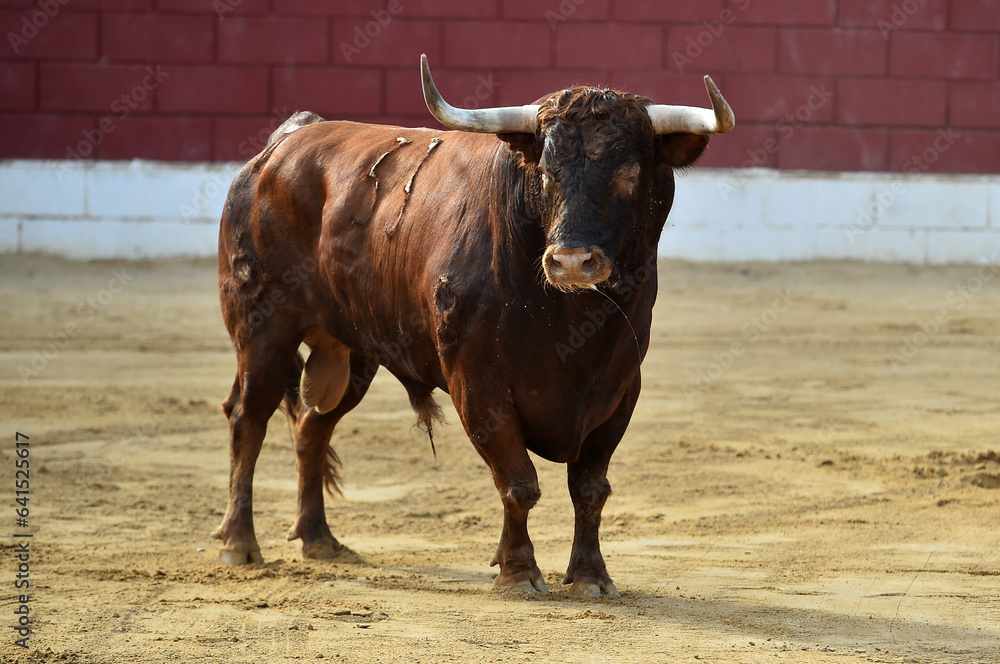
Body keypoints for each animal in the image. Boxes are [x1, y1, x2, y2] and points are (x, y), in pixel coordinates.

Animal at [213, 54, 734, 596]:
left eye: (629, 174)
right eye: (545, 173)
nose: (571, 262)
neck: (570, 323)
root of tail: (285, 142)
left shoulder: (620, 389)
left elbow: (591, 489)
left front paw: (591, 576)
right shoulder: (478, 385)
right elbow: (518, 482)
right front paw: (519, 572)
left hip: (352, 351)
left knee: (312, 426)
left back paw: (319, 539)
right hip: (261, 327)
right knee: (248, 418)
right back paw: (239, 542)